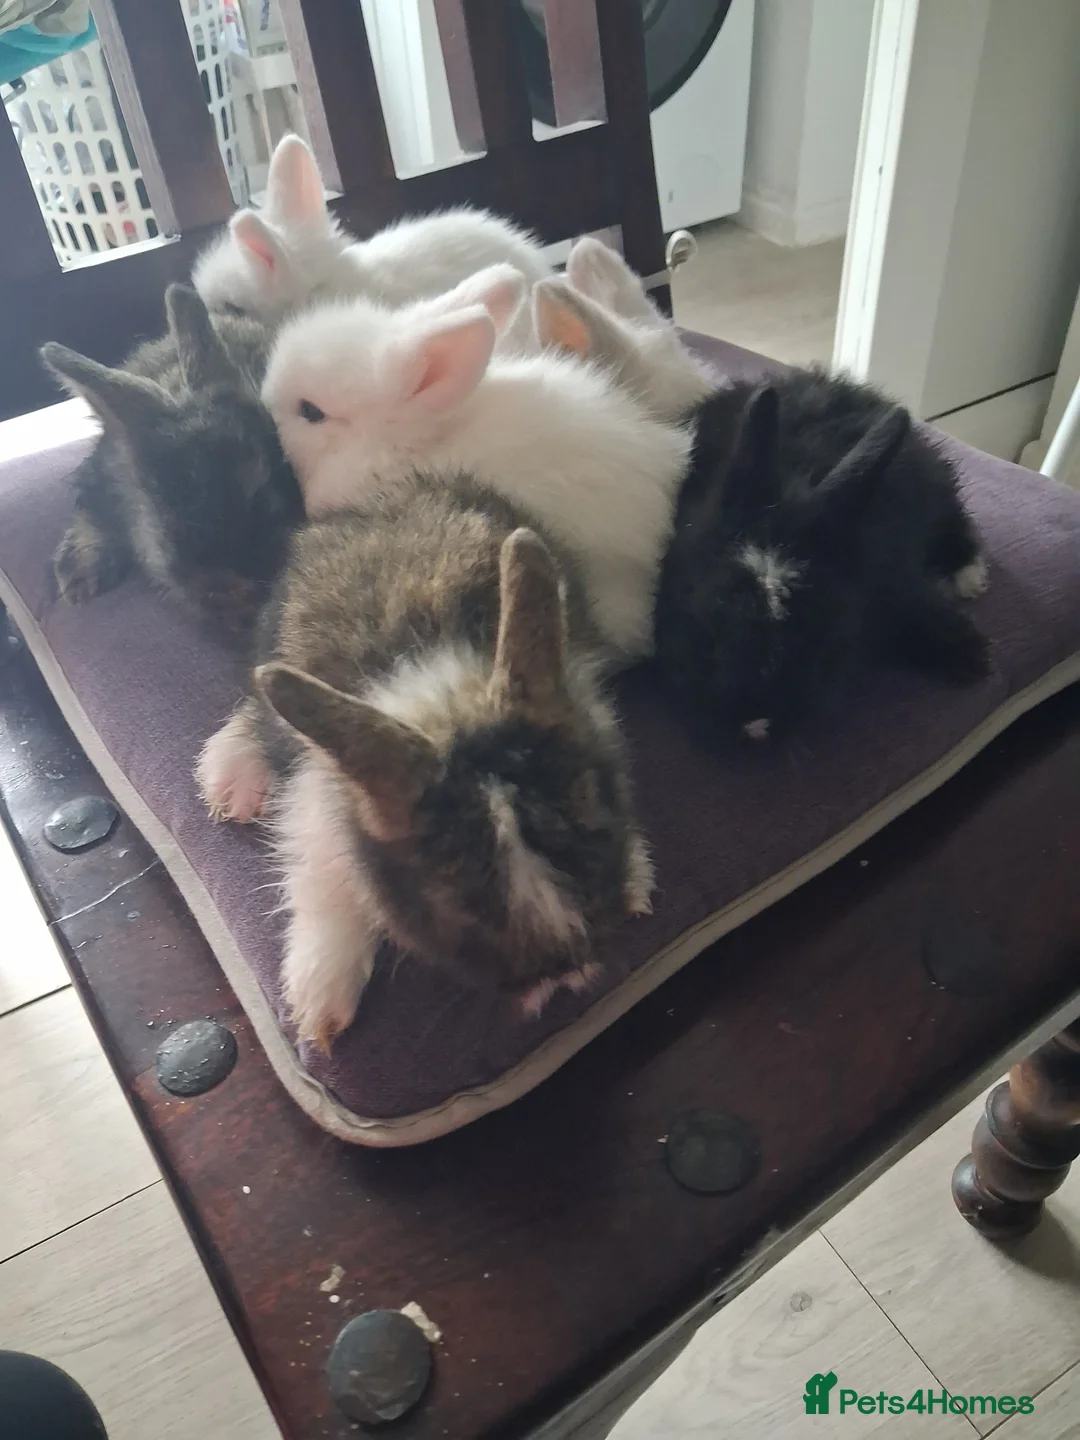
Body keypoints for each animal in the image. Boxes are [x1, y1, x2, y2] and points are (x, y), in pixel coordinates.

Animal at [196, 473, 653, 1049]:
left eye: (598, 820)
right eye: (460, 908)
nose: (564, 971)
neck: (442, 690)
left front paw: (639, 883)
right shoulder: (317, 792)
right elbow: (324, 878)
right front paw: (320, 1007)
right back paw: (230, 778)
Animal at [653, 374, 991, 747]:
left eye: (817, 641)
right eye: (704, 623)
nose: (753, 725)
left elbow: (914, 603)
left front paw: (970, 655)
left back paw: (969, 576)